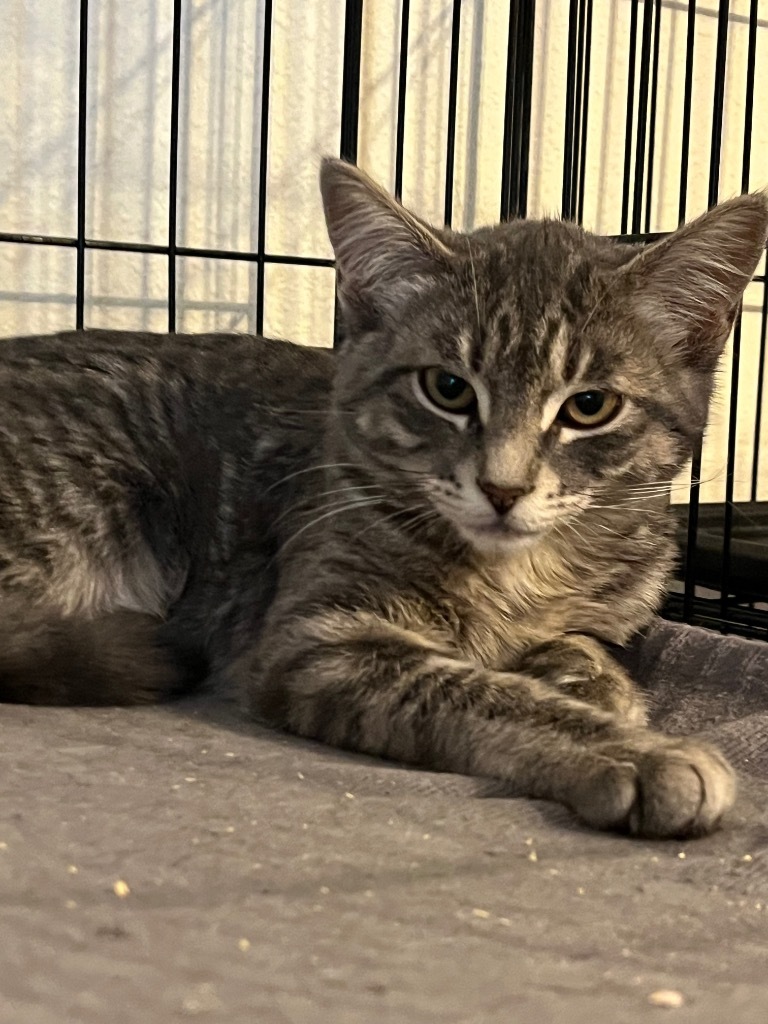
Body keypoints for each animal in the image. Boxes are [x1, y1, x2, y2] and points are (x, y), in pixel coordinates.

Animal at [3, 155, 765, 835]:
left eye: (590, 406)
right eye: (448, 388)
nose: (503, 486)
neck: (517, 572)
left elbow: (584, 642)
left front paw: (596, 686)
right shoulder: (319, 639)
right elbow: (477, 691)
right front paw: (632, 752)